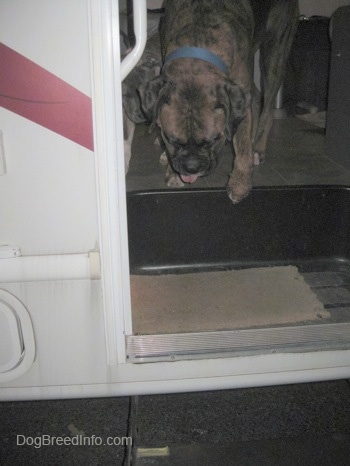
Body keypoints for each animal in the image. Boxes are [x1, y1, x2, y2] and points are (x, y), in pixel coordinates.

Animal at [139, 0, 298, 204]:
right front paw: (173, 171)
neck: (199, 35)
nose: (192, 167)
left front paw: (240, 183)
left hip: (275, 54)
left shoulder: (238, 95)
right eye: (172, 140)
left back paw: (257, 148)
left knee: (267, 108)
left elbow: (242, 144)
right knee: (255, 96)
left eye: (213, 140)